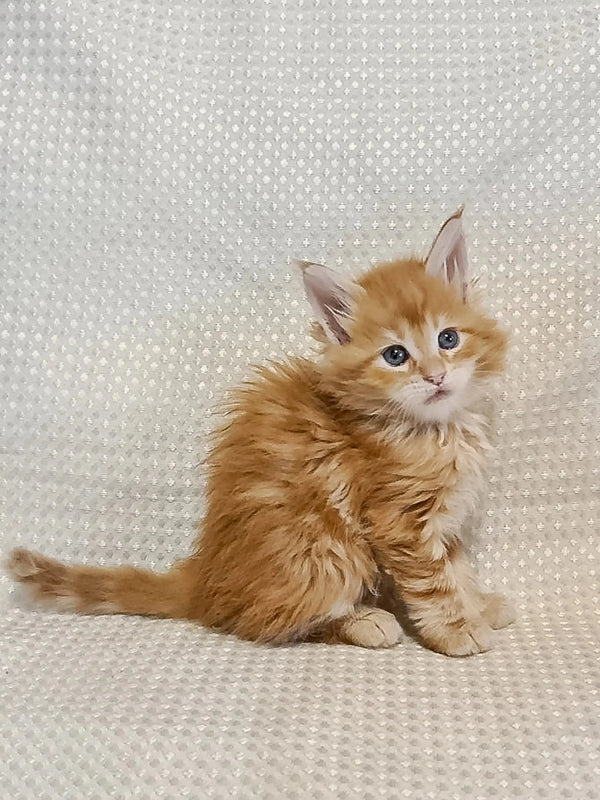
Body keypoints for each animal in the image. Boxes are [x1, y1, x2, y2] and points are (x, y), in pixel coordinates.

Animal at [5, 209, 516, 652]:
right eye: (395, 355)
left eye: (447, 339)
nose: (435, 376)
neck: (434, 431)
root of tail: (204, 580)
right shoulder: (400, 522)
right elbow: (434, 583)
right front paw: (457, 630)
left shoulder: (442, 522)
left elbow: (458, 570)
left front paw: (478, 607)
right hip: (321, 553)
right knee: (264, 621)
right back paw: (364, 621)